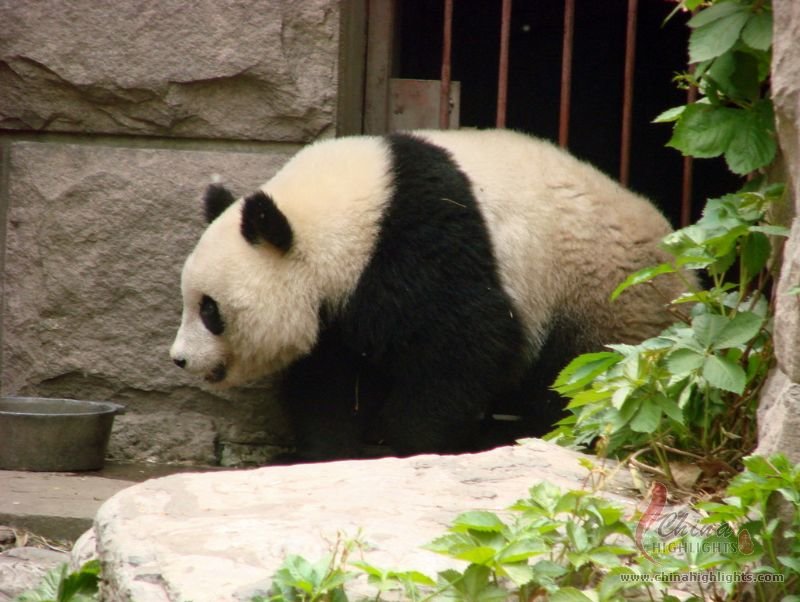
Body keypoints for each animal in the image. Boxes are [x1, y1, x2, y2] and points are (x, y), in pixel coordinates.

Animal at [170, 130, 688, 460]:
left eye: (210, 310)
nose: (180, 359)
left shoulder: (428, 241)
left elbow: (462, 348)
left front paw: (412, 444)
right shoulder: (341, 304)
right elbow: (332, 376)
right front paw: (324, 449)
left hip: (599, 299)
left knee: (572, 379)